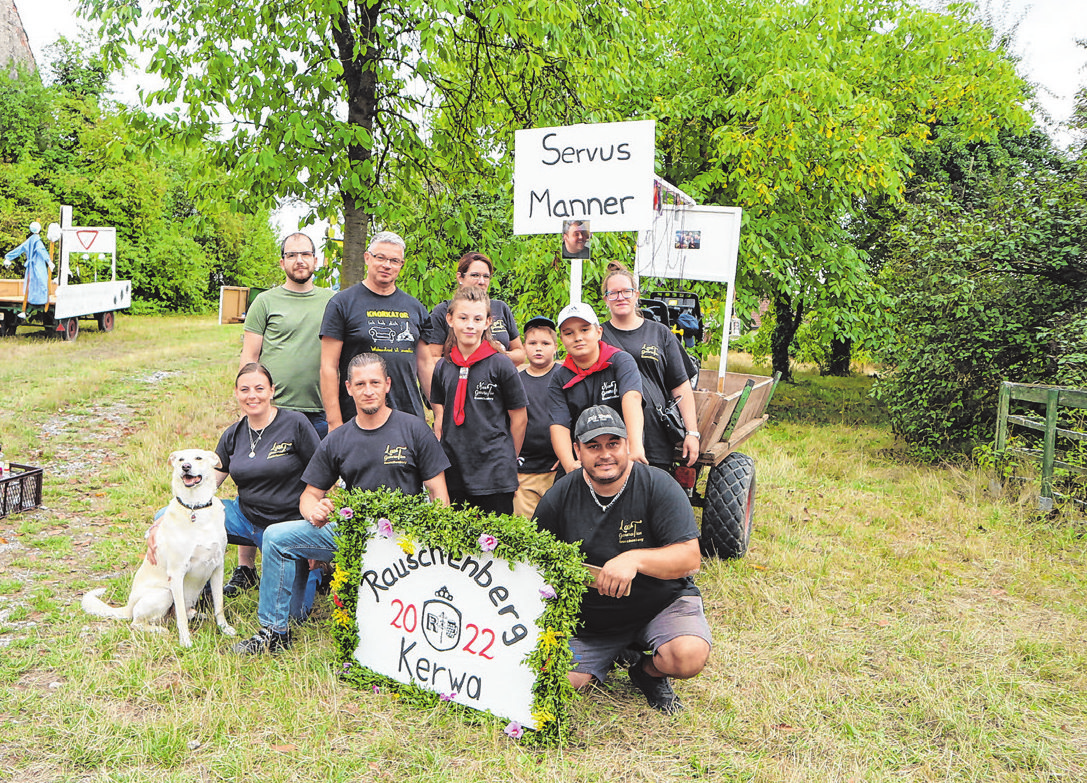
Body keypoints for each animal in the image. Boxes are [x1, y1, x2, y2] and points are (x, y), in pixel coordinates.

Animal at [83, 450, 238, 643]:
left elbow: (219, 605)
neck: (195, 508)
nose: (185, 467)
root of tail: (128, 606)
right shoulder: (177, 573)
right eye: (181, 459)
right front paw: (185, 641)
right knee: (138, 622)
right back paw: (159, 630)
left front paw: (225, 628)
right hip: (164, 593)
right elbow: (180, 615)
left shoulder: (217, 568)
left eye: (198, 458)